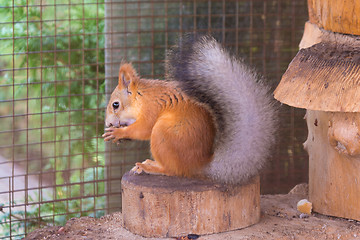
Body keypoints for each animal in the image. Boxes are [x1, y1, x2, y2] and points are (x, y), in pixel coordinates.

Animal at [102, 35, 278, 185]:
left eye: (115, 105)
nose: (109, 124)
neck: (142, 98)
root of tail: (198, 164)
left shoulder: (152, 108)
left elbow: (143, 129)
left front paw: (119, 133)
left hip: (163, 134)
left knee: (173, 170)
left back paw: (149, 167)